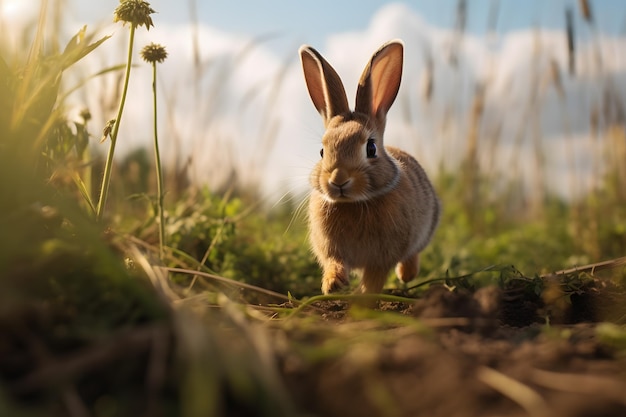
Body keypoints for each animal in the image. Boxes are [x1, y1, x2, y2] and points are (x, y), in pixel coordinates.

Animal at [298, 39, 438, 292]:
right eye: (322, 151)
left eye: (371, 148)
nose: (338, 180)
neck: (353, 203)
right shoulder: (332, 250)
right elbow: (334, 262)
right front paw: (332, 284)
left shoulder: (381, 259)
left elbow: (373, 281)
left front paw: (362, 297)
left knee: (413, 254)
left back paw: (406, 275)